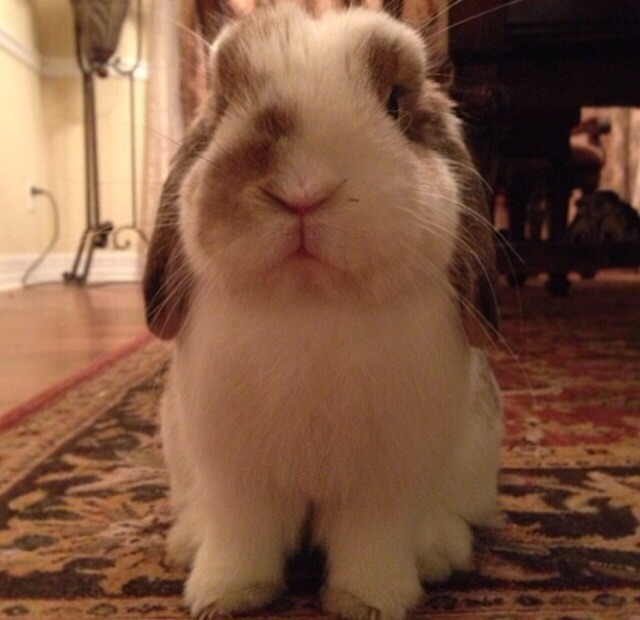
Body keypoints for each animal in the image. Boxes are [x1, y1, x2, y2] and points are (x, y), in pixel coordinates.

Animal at [143, 4, 503, 619]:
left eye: (395, 104)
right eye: (223, 105)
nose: (302, 190)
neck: (310, 302)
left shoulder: (387, 483)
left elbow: (372, 545)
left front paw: (367, 601)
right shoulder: (234, 478)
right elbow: (241, 542)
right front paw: (223, 597)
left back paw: (439, 550)